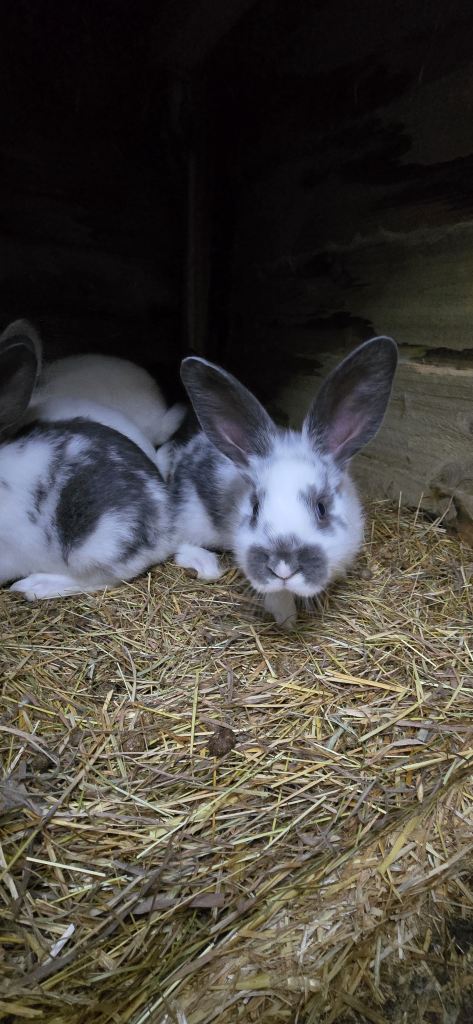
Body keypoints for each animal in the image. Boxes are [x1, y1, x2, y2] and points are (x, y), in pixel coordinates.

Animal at [170, 336, 398, 627]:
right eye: (255, 508)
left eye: (322, 508)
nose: (283, 568)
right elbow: (277, 596)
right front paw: (287, 620)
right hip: (192, 518)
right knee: (179, 543)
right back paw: (206, 565)